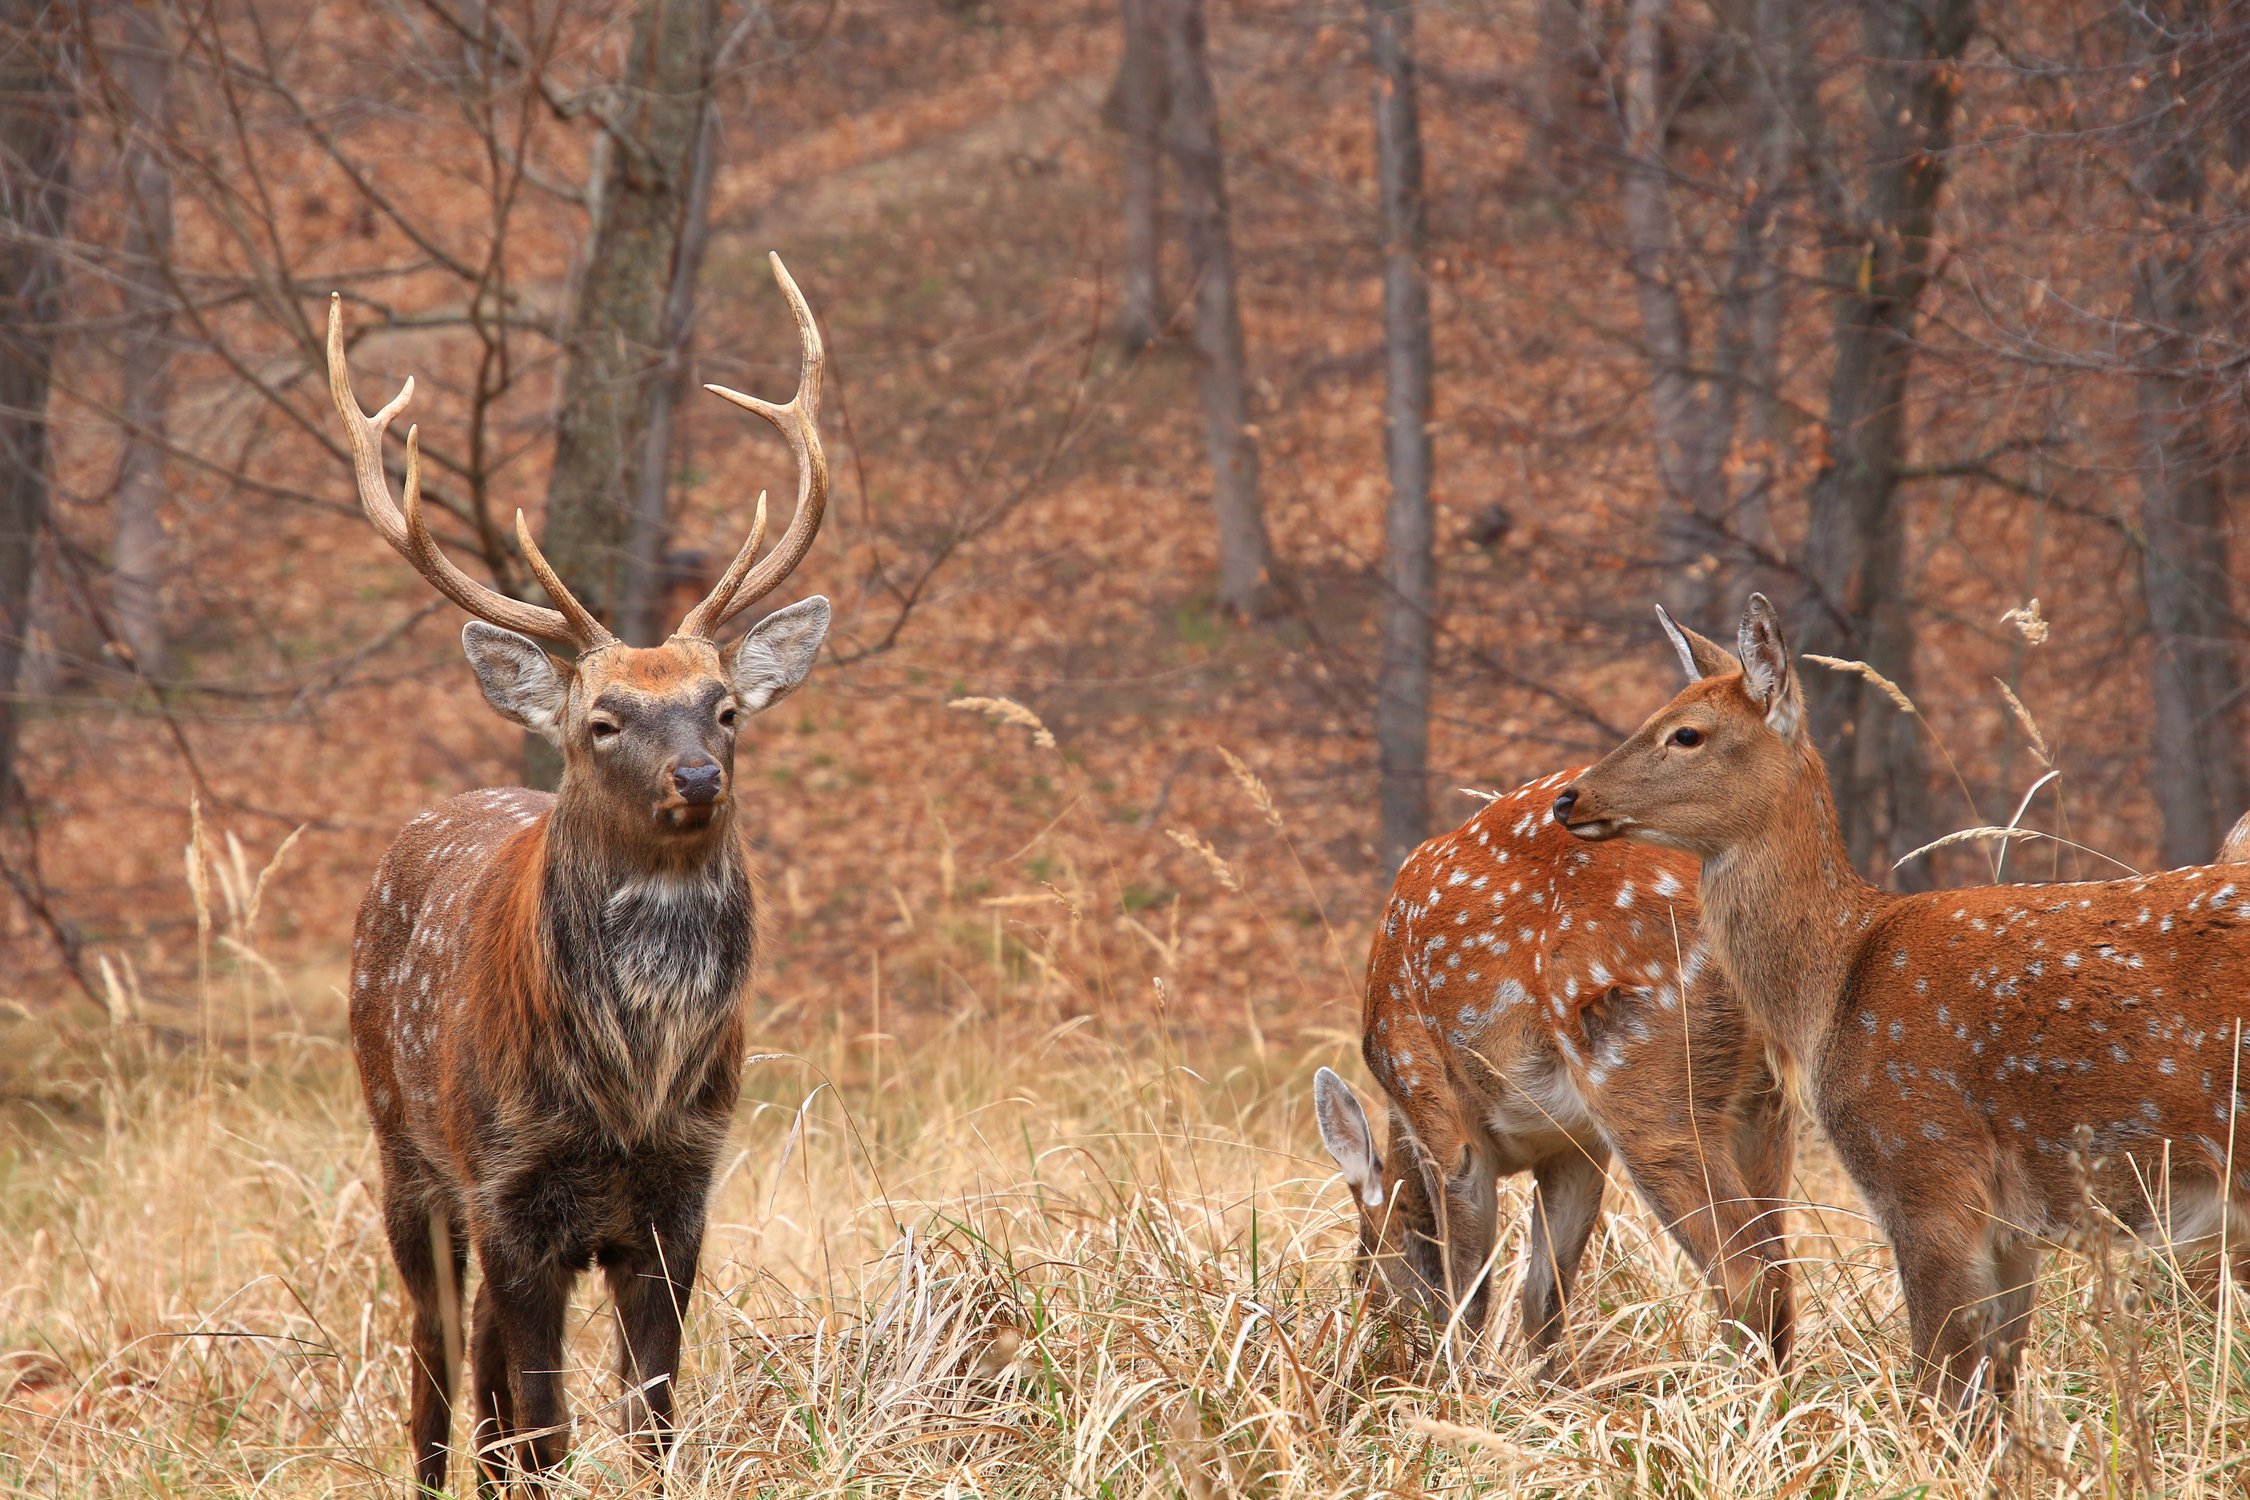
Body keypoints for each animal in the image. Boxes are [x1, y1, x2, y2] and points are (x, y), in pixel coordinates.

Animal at [328, 258, 832, 1493]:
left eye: (726, 707)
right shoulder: (512, 1192)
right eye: (603, 720)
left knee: (486, 1382)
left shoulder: (682, 1195)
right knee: (436, 1363)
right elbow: (548, 1429)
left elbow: (650, 1426)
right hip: (402, 1146)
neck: (627, 1090)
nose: (698, 773)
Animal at [1305, 773, 1791, 1376]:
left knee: (1748, 1272)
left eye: (1366, 1259)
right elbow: (1544, 1297)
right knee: (1778, 1260)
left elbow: (1468, 1292)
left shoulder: (1436, 1111)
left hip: (1642, 1071)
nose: (1371, 1338)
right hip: (1763, 1100)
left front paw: (1460, 1382)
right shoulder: (1574, 1145)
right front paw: (1543, 1387)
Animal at [1557, 593, 2250, 1412]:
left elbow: (1938, 1394)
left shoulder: (1922, 1170)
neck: (1833, 986)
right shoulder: (2010, 1230)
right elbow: (1995, 1395)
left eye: (1686, 732)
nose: (1569, 797)